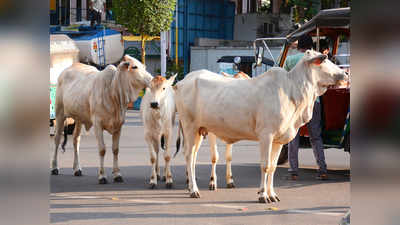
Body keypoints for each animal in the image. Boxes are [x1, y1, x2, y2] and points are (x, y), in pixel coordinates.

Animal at [51, 55, 153, 185]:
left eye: (144, 67)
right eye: (134, 67)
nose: (152, 79)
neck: (113, 91)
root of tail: (66, 69)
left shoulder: (118, 125)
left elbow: (115, 150)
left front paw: (117, 174)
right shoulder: (97, 124)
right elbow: (102, 150)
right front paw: (102, 176)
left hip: (79, 119)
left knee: (76, 140)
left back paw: (77, 168)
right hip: (60, 114)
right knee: (57, 139)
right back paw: (54, 167)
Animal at [175, 50, 346, 202]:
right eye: (323, 60)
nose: (345, 74)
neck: (292, 90)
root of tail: (183, 81)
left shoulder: (279, 140)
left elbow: (273, 167)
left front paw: (272, 194)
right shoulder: (266, 136)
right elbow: (265, 166)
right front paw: (263, 195)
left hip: (199, 130)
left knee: (193, 156)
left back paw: (191, 187)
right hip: (189, 127)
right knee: (189, 156)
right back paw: (194, 190)